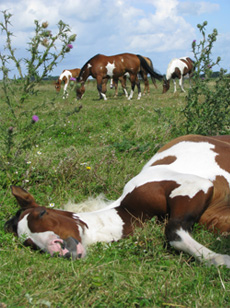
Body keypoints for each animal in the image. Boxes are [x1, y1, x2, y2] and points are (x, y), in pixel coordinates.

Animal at [4, 134, 230, 268]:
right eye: (29, 243)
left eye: (42, 213)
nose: (60, 250)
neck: (127, 210)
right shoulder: (214, 215)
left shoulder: (195, 186)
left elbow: (173, 231)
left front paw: (220, 259)